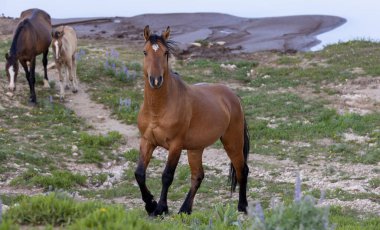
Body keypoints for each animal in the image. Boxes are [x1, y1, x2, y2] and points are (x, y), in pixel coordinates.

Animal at [134, 26, 249, 217]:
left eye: (165, 52)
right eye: (145, 52)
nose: (156, 80)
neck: (158, 109)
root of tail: (233, 97)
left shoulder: (175, 145)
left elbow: (167, 176)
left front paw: (160, 208)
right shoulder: (147, 141)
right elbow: (139, 174)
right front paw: (150, 204)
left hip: (232, 142)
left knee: (242, 170)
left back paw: (242, 206)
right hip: (196, 149)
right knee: (198, 176)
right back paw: (185, 209)